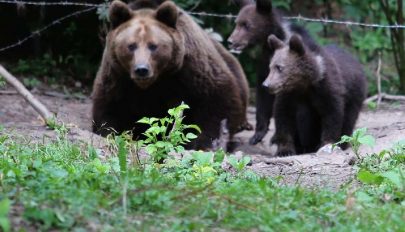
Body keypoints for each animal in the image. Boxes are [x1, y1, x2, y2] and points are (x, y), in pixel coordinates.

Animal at [91, 0, 249, 150]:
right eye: (131, 45)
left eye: (153, 46)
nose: (141, 69)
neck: (155, 81)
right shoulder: (118, 76)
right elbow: (109, 107)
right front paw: (110, 133)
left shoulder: (189, 68)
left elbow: (218, 97)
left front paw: (205, 142)